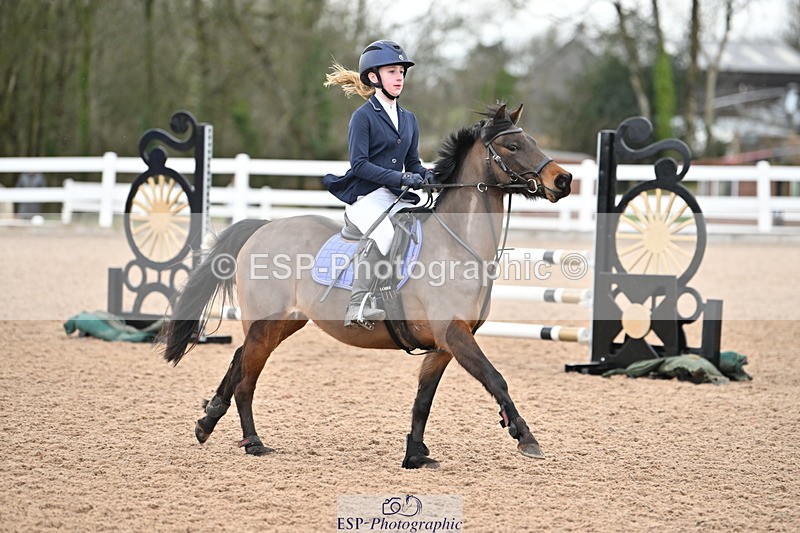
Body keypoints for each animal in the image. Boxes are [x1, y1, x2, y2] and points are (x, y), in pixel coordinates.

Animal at [160, 103, 573, 468]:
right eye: (513, 146)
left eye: (532, 141)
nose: (563, 180)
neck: (458, 244)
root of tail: (263, 226)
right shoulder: (454, 333)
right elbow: (495, 378)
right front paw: (525, 437)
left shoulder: (443, 345)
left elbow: (423, 401)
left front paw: (415, 455)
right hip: (265, 322)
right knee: (247, 379)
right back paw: (253, 443)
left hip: (285, 321)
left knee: (238, 358)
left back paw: (207, 421)